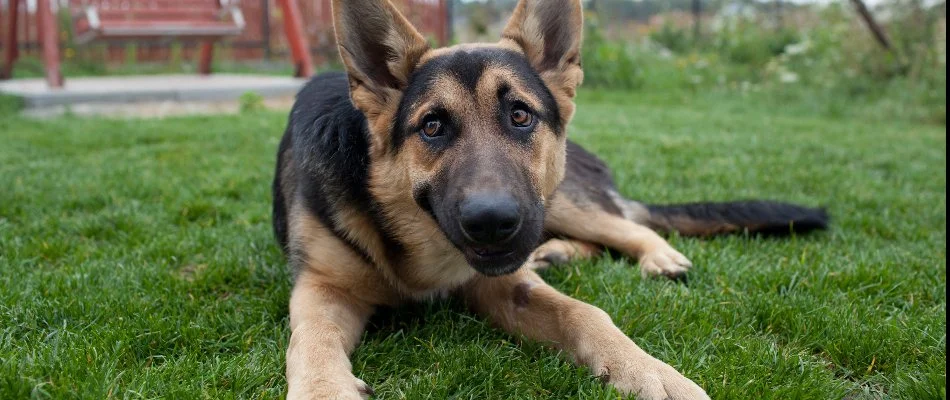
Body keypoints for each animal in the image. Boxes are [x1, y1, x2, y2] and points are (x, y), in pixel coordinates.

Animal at [272, 1, 828, 398]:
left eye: (520, 115)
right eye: (432, 127)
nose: (493, 222)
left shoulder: (504, 283)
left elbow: (585, 313)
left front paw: (649, 370)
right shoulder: (322, 289)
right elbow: (311, 341)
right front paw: (324, 391)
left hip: (557, 201)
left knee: (631, 227)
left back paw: (656, 257)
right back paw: (558, 252)